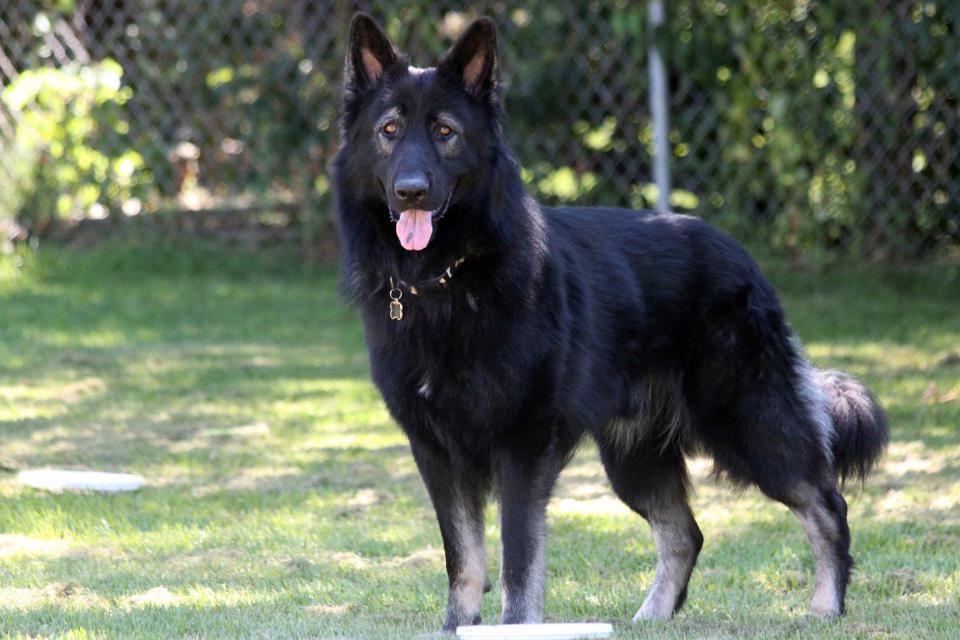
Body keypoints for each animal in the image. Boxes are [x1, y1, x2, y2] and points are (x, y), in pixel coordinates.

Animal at [334, 13, 888, 632]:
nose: (411, 192)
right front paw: (458, 626)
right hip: (635, 462)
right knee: (687, 533)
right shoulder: (436, 456)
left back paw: (826, 606)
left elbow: (518, 561)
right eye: (389, 130)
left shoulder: (520, 450)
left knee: (827, 504)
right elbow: (465, 559)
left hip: (751, 427)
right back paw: (652, 616)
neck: (448, 280)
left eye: (445, 131)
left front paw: (515, 627)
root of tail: (738, 254)